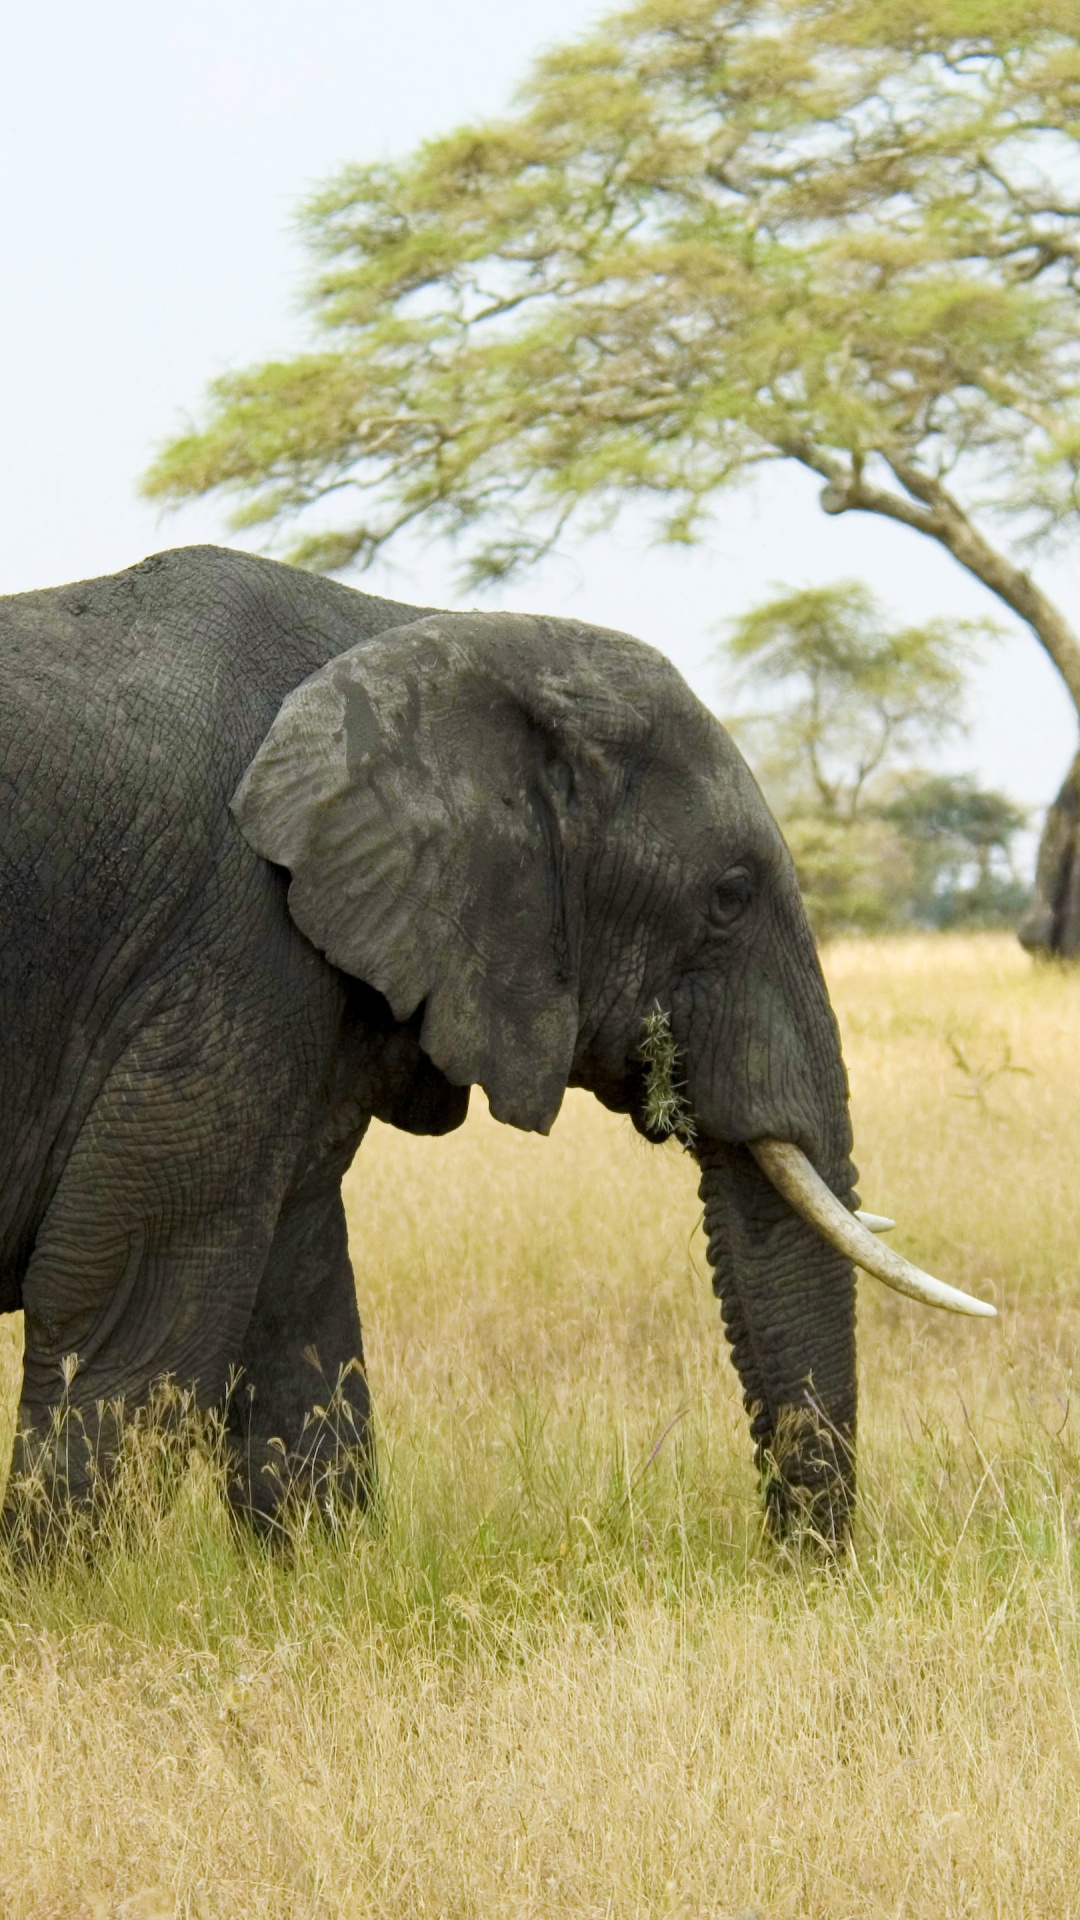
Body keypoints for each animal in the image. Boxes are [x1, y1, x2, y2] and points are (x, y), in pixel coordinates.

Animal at [0, 544, 992, 1549]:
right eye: (730, 895)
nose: (796, 1565)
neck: (422, 634)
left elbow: (296, 1308)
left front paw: (322, 1564)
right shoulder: (236, 942)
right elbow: (132, 1310)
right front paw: (76, 1580)